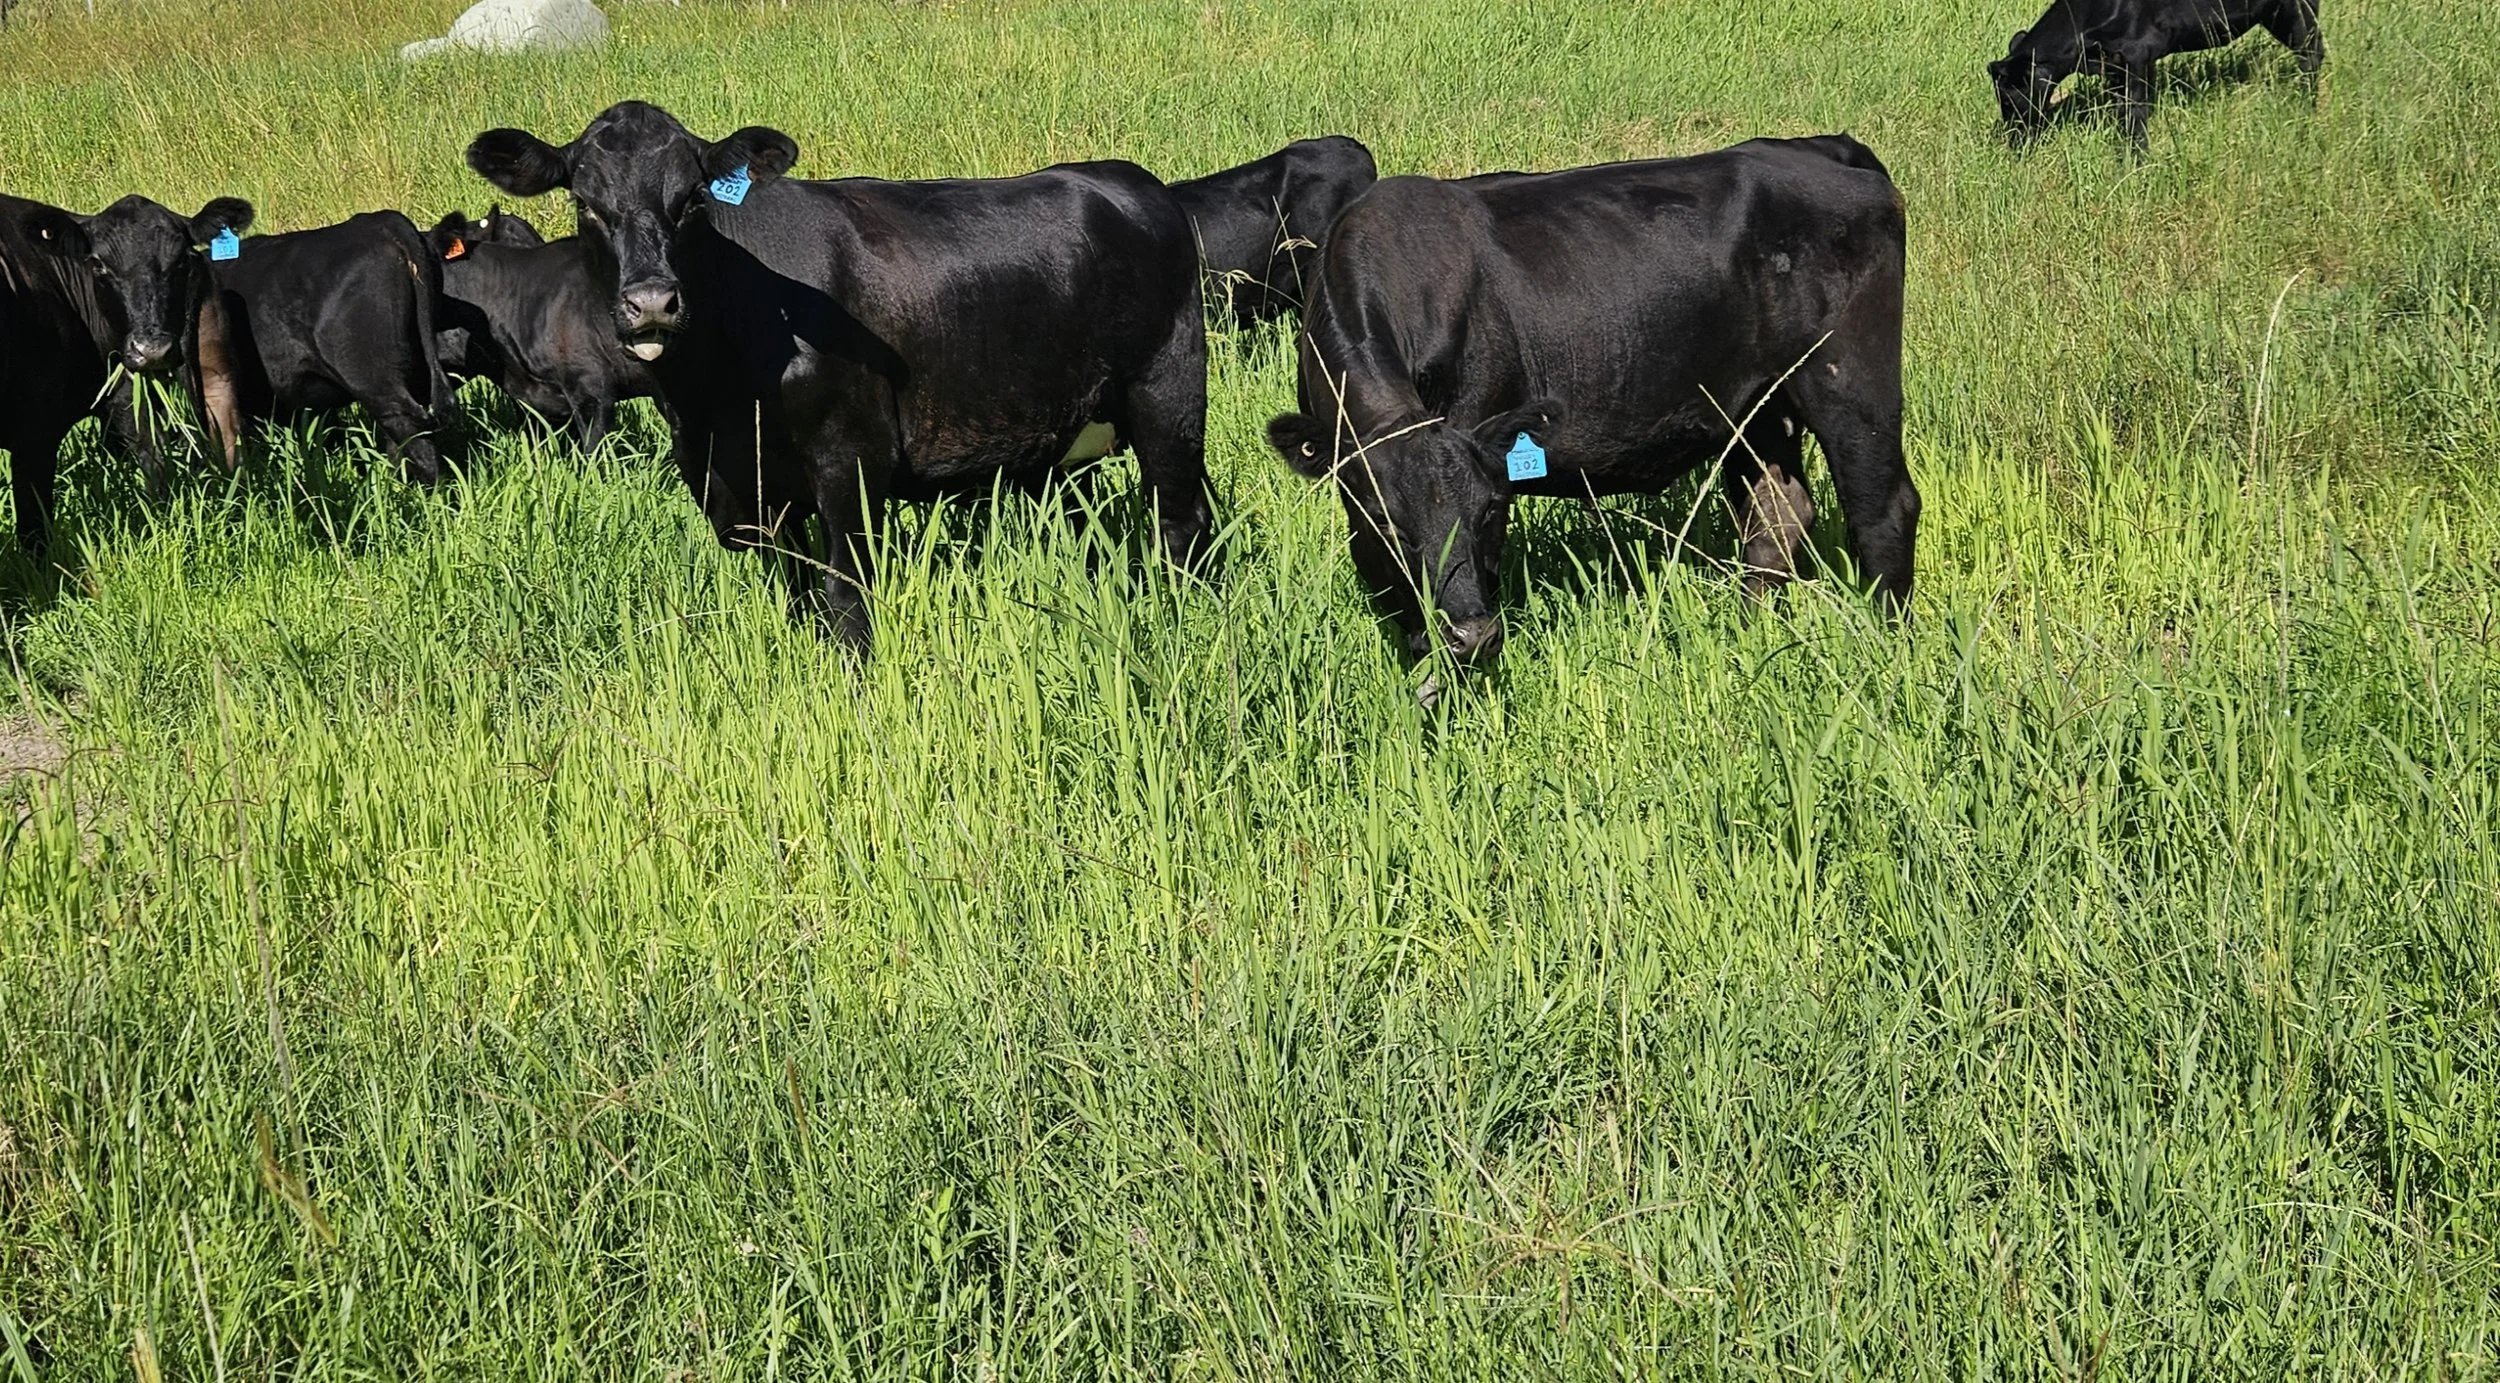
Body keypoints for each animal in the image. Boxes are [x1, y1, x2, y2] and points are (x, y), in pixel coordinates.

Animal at [464, 100, 1214, 652]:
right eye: (585, 203)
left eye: (693, 199)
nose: (651, 301)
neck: (716, 399)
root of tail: (1130, 180)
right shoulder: (733, 485)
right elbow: (797, 592)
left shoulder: (849, 457)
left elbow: (846, 595)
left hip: (1168, 390)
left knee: (1181, 519)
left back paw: (1185, 618)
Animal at [1264, 136, 1918, 695]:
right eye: (1387, 525)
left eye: (1488, 512)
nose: (1472, 635)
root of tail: (1828, 149)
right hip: (1757, 411)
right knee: (1775, 519)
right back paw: (1750, 633)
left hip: (1851, 383)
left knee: (1884, 512)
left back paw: (1890, 653)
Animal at [1991, 0, 2323, 145]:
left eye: (2008, 100)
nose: (2012, 140)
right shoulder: (2114, 67)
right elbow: (2121, 110)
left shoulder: (2137, 55)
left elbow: (2135, 114)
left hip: (2297, 12)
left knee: (2312, 55)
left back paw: (2308, 109)